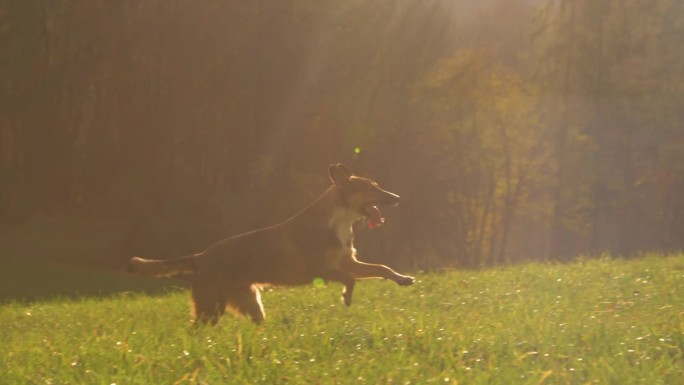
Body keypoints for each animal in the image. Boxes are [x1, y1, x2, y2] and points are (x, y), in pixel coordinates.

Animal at [130, 164, 414, 322]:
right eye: (371, 188)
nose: (399, 198)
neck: (339, 220)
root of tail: (200, 257)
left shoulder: (348, 262)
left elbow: (381, 268)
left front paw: (403, 279)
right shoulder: (320, 270)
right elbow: (350, 279)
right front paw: (346, 298)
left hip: (250, 304)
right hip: (210, 307)